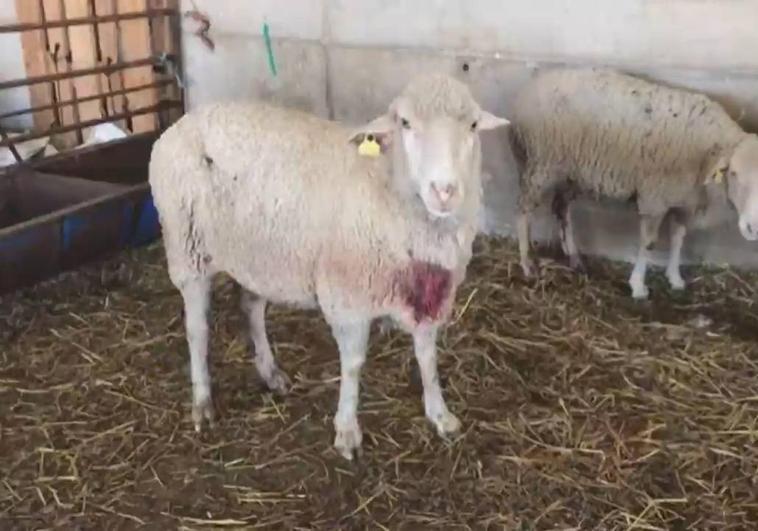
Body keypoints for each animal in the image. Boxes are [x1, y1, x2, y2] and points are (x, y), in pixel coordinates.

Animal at [148, 72, 510, 460]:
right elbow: (353, 365)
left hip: (259, 254)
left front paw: (440, 414)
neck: (385, 185)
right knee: (197, 329)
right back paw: (202, 402)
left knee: (251, 308)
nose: (444, 191)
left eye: (473, 125)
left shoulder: (430, 292)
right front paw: (347, 429)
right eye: (405, 123)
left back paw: (270, 373)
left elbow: (427, 356)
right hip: (187, 249)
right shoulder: (346, 299)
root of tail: (182, 122)